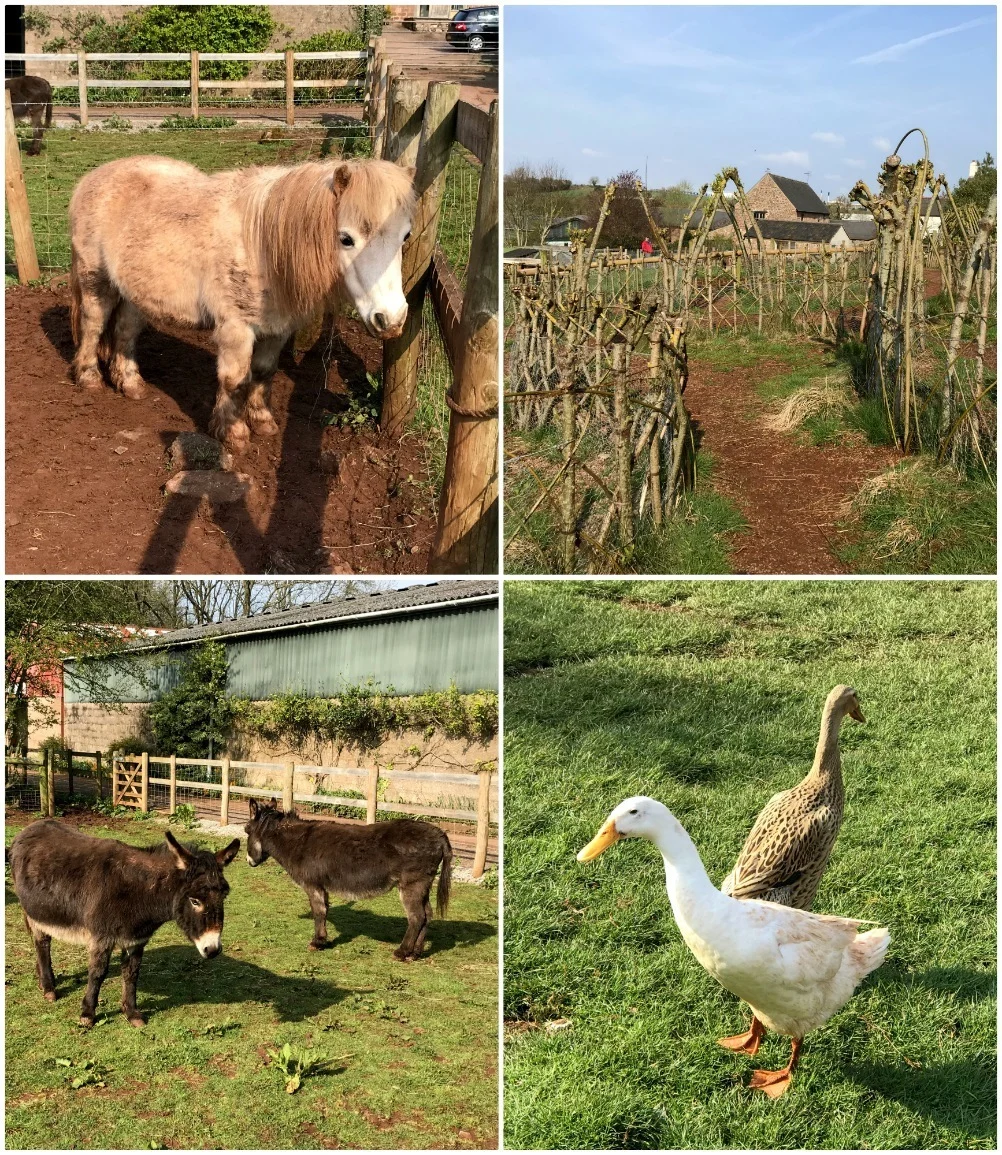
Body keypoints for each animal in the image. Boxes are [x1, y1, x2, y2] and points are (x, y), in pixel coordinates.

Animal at [68, 155, 415, 452]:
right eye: (346, 238)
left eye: (405, 236)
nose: (391, 319)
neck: (262, 245)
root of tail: (93, 177)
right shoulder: (236, 329)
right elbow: (234, 379)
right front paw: (232, 433)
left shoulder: (277, 329)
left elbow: (263, 372)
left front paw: (262, 421)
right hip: (96, 280)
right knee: (93, 324)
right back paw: (89, 378)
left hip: (135, 293)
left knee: (125, 331)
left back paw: (130, 383)